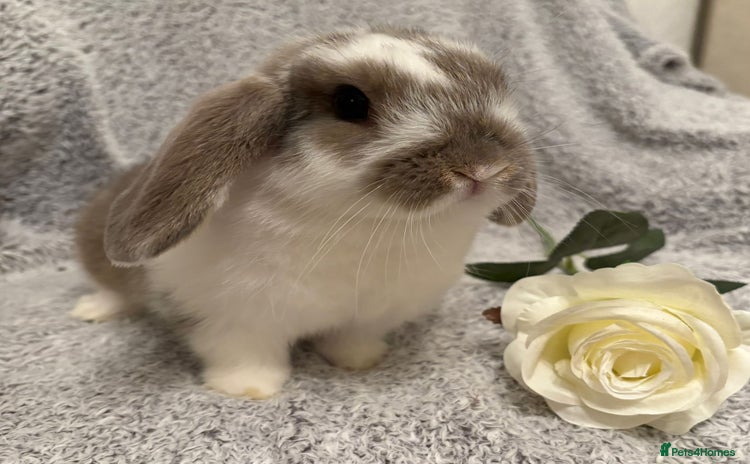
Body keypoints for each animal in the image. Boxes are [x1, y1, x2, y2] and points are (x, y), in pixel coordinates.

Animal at [71, 25, 537, 399]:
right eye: (350, 102)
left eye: (493, 86)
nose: (482, 167)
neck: (366, 228)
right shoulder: (231, 320)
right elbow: (243, 355)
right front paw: (247, 390)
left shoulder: (365, 317)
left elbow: (352, 341)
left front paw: (361, 362)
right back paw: (90, 310)